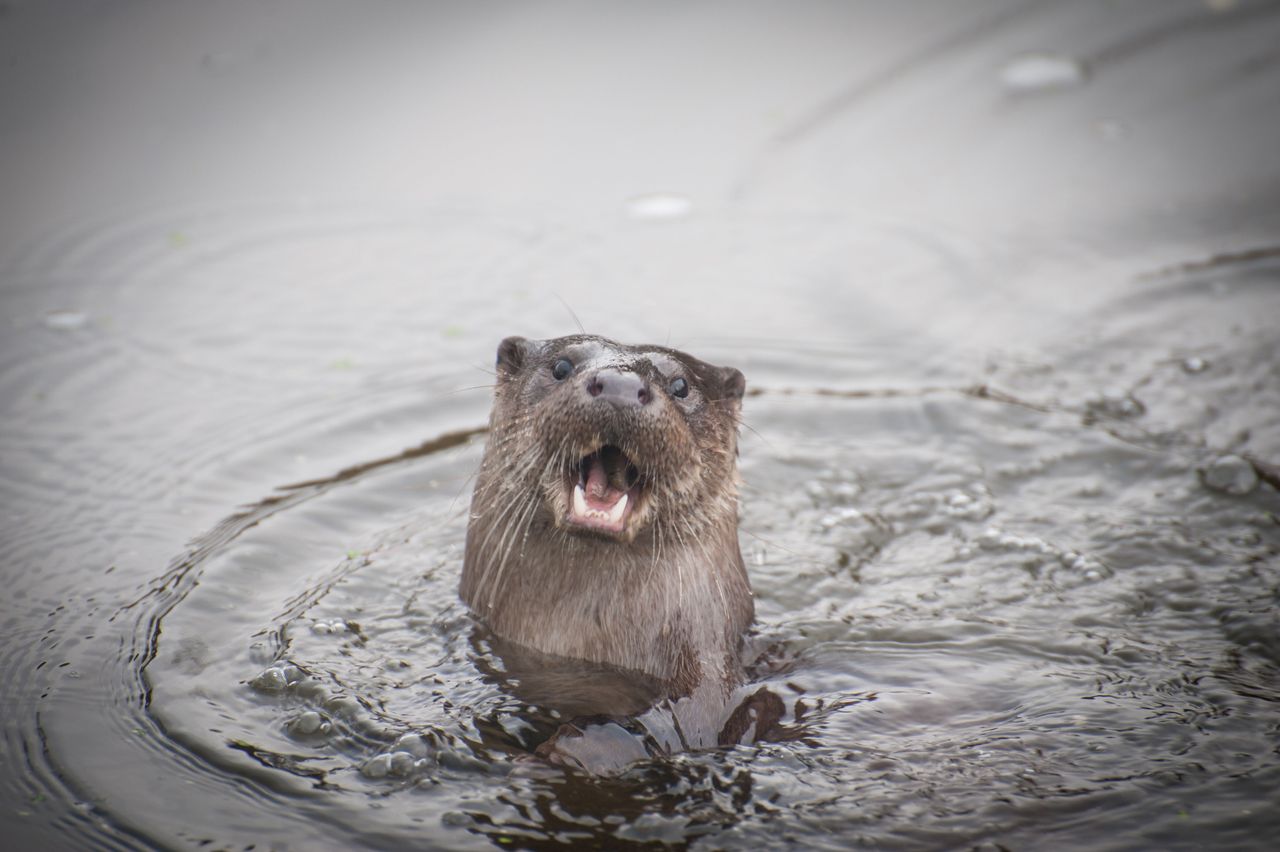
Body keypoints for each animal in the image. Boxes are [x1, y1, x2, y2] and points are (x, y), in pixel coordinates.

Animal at [460, 332, 768, 762]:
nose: (619, 386)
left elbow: (689, 721)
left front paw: (567, 750)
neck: (579, 637)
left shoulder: (712, 681)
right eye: (561, 367)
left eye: (680, 386)